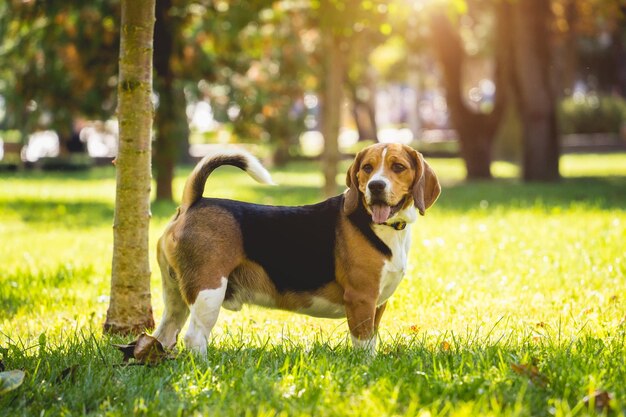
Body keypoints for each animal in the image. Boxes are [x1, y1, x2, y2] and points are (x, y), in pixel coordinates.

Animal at [152, 143, 438, 354]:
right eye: (367, 168)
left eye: (398, 167)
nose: (376, 186)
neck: (382, 226)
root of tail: (193, 202)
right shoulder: (361, 299)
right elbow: (364, 345)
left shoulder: (378, 304)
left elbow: (372, 342)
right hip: (208, 292)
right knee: (194, 337)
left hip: (176, 295)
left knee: (164, 333)